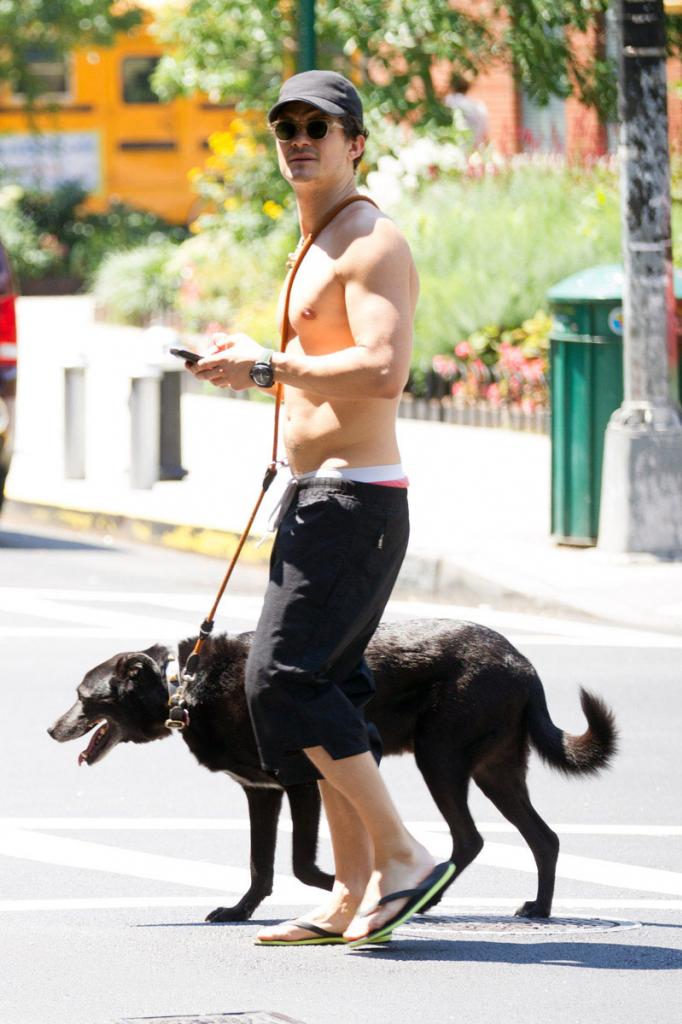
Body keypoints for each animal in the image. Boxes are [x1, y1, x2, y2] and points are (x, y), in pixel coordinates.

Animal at [46, 618, 610, 925]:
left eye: (82, 698)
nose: (50, 730)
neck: (185, 686)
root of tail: (524, 664)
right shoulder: (262, 793)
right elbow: (261, 865)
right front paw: (240, 911)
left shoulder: (303, 784)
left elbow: (301, 865)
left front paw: (352, 890)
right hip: (495, 770)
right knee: (542, 838)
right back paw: (537, 907)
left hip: (440, 757)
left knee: (470, 837)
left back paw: (427, 896)